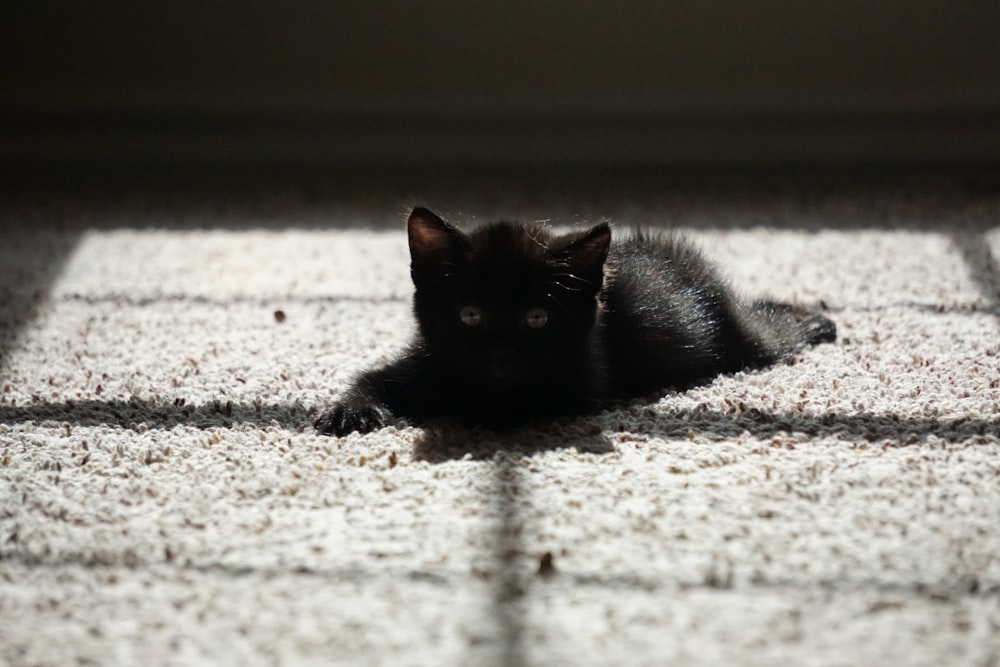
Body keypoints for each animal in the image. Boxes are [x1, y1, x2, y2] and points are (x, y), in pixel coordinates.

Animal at [316, 209, 832, 438]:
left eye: (536, 318)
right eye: (470, 314)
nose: (500, 351)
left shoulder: (580, 387)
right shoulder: (423, 357)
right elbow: (371, 378)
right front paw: (350, 411)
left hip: (738, 340)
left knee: (769, 334)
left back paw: (815, 321)